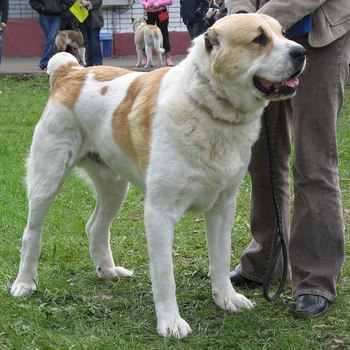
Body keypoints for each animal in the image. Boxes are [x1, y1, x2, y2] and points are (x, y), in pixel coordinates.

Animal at [12, 14, 304, 340]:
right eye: (259, 39)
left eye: (283, 33)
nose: (301, 52)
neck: (207, 106)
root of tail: (71, 72)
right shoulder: (159, 213)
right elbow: (165, 274)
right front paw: (170, 322)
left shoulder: (222, 207)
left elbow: (220, 258)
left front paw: (226, 298)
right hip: (47, 179)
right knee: (31, 233)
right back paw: (25, 283)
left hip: (115, 187)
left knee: (94, 226)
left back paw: (108, 271)